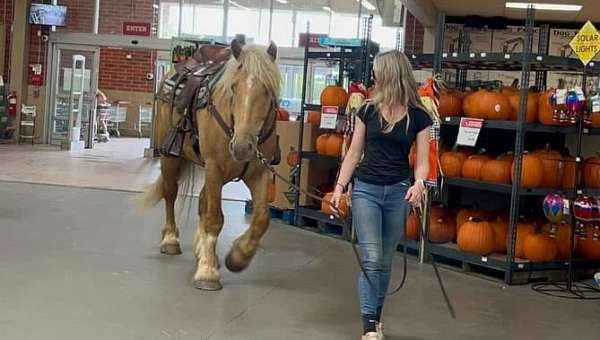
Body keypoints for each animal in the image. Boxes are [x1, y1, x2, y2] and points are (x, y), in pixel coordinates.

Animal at [142, 39, 280, 290]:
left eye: (267, 90)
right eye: (234, 87)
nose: (242, 147)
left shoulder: (259, 173)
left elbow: (261, 220)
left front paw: (237, 257)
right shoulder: (214, 167)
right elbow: (214, 218)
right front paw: (207, 273)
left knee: (203, 202)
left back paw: (203, 251)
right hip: (171, 158)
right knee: (170, 193)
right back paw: (170, 240)